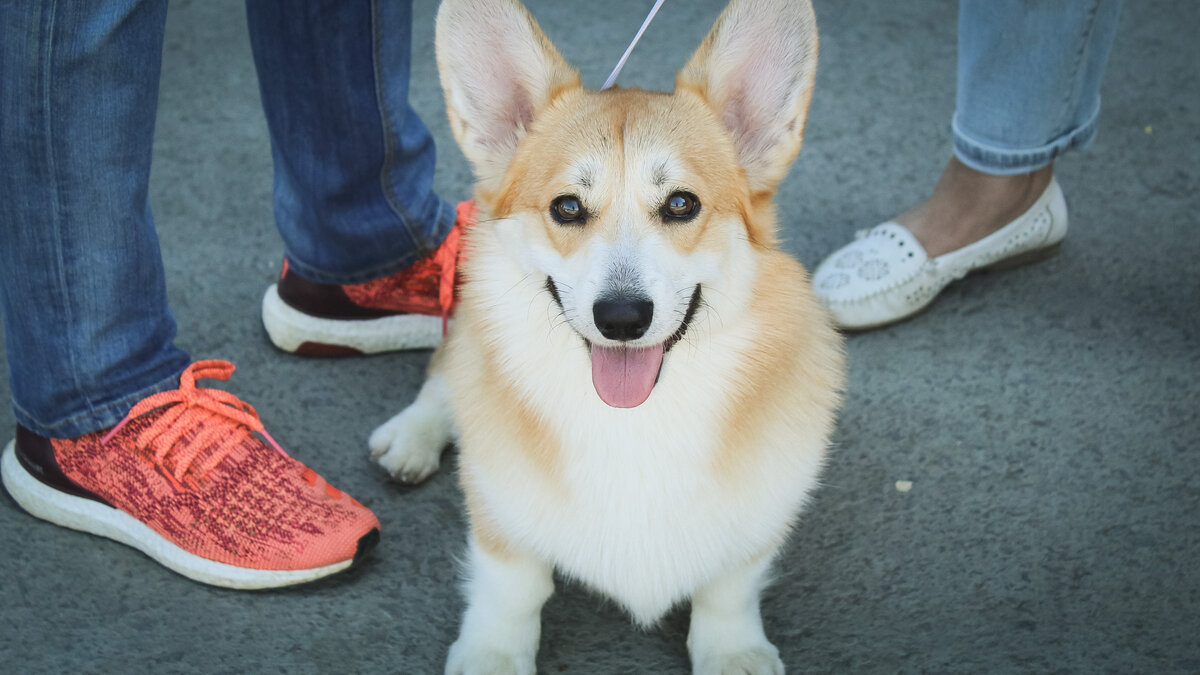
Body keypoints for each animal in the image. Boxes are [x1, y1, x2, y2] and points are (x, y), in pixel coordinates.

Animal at [369, 1, 849, 667]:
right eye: (567, 208)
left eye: (681, 204)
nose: (621, 318)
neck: (632, 422)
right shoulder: (501, 517)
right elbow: (510, 589)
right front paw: (494, 654)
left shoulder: (757, 518)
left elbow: (730, 586)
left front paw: (733, 653)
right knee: (447, 368)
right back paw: (412, 436)